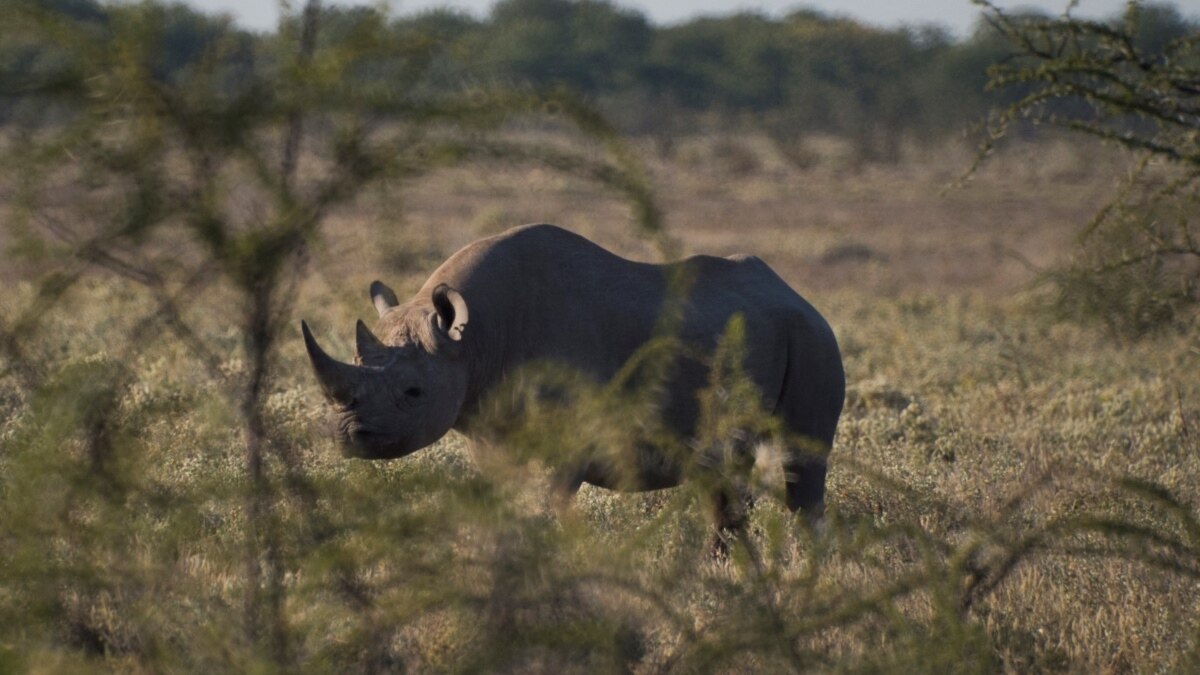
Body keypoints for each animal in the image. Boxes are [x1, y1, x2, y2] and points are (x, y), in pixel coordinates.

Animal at [302, 224, 844, 540]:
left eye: (413, 393)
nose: (348, 436)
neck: (473, 339)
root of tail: (797, 296)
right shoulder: (490, 427)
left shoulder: (572, 435)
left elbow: (550, 500)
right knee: (724, 481)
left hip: (814, 339)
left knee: (800, 471)